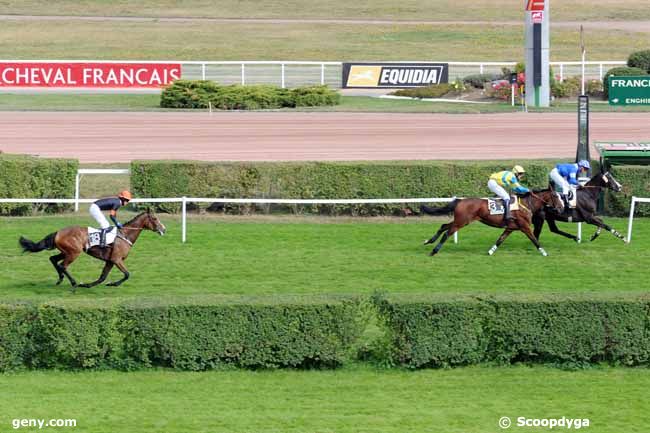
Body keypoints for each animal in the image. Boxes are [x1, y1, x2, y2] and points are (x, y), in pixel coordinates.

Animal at [20, 210, 167, 290]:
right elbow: (127, 274)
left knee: (53, 259)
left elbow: (102, 277)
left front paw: (88, 285)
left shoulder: (110, 261)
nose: (164, 229)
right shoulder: (117, 259)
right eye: (155, 218)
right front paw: (113, 284)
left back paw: (60, 279)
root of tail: (58, 232)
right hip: (74, 252)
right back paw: (73, 283)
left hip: (66, 251)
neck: (125, 235)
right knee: (62, 265)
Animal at [420, 187, 560, 255]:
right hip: (461, 222)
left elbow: (500, 240)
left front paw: (490, 252)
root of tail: (460, 201)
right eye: (556, 196)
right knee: (447, 233)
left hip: (460, 220)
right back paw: (434, 251)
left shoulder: (510, 228)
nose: (560, 208)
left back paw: (429, 241)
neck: (526, 204)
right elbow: (535, 240)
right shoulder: (525, 227)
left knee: (443, 226)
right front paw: (544, 253)